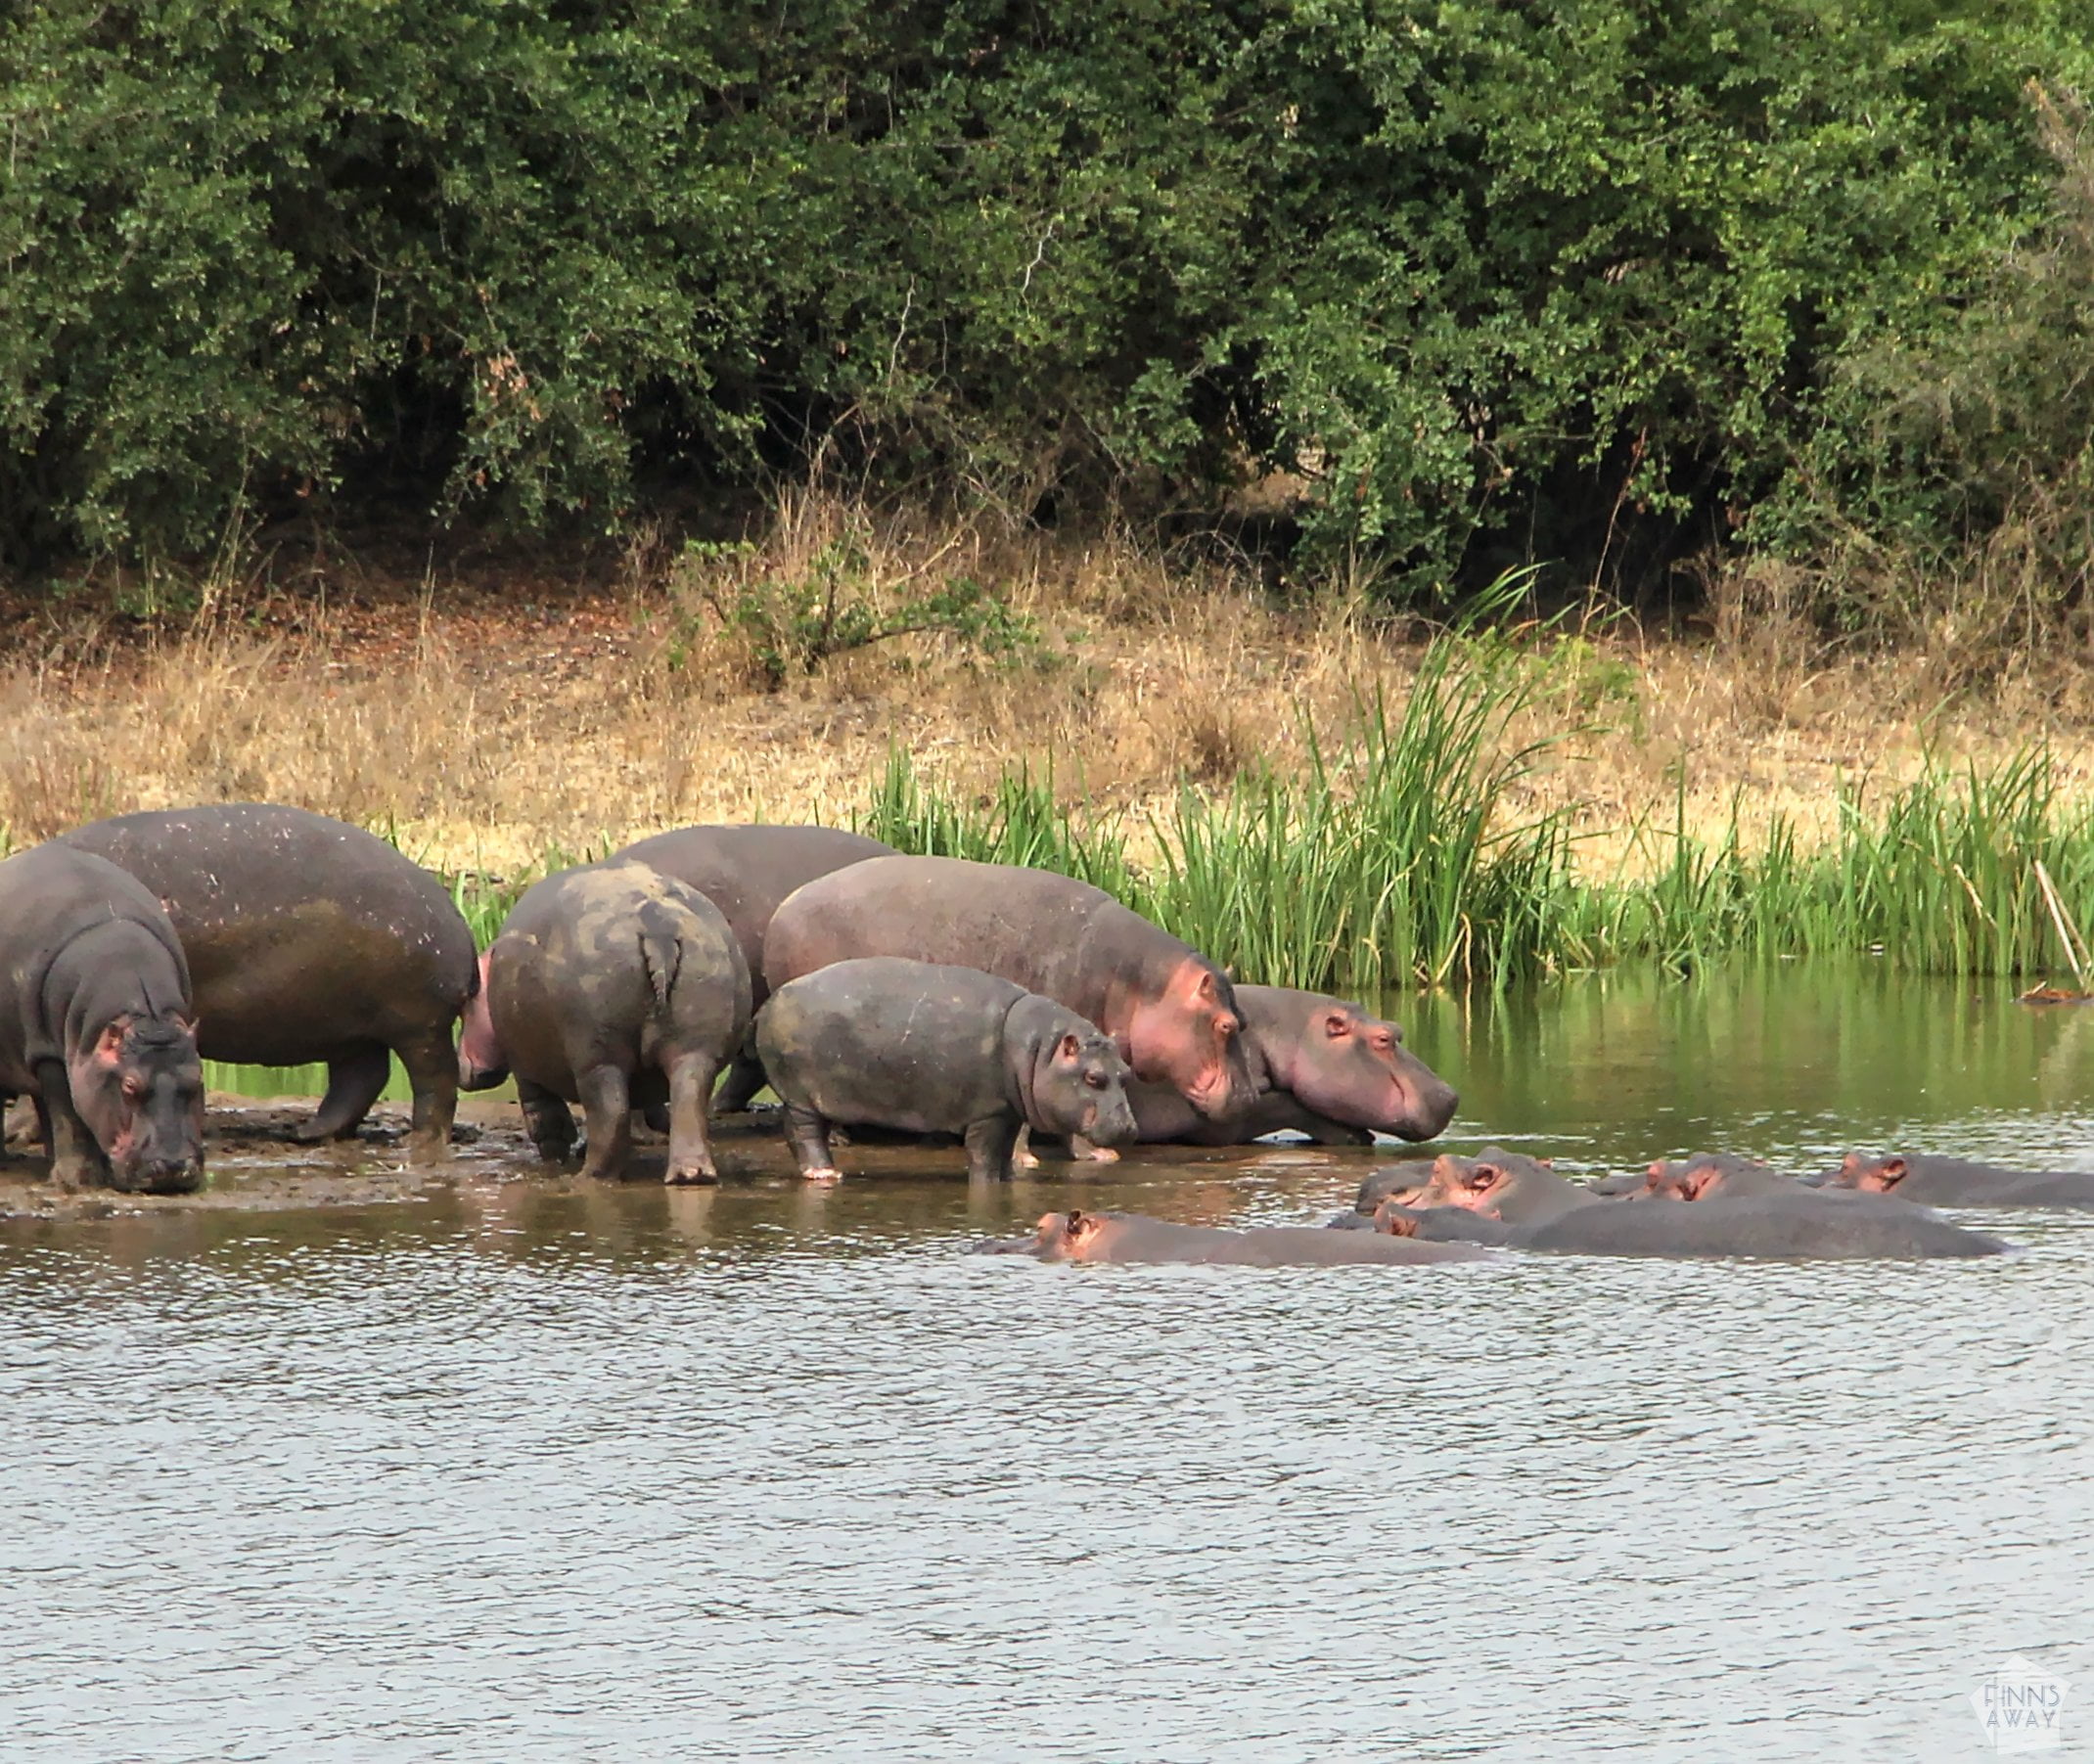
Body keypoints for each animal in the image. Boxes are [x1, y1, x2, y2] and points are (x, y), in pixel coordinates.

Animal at [0, 846, 205, 1193]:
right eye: (129, 1086)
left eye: (197, 1079)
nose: (173, 1167)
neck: (145, 1018)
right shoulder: (50, 1054)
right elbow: (67, 1115)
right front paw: (78, 1180)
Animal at [58, 804, 477, 1156]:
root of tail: (458, 919)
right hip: (351, 1025)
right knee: (362, 1075)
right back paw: (308, 1133)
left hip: (419, 1025)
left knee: (435, 1080)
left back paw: (417, 1142)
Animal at [457, 860, 752, 1183]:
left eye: (467, 1002)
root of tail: (658, 927)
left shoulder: (525, 1067)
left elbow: (546, 1121)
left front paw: (555, 1163)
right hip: (696, 1043)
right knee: (689, 1098)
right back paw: (691, 1175)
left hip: (597, 1056)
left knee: (611, 1111)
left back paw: (588, 1176)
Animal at [756, 957, 1136, 1181]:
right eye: (1093, 1077)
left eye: (1125, 1073)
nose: (1129, 1128)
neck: (1041, 1050)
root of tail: (769, 1003)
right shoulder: (988, 1113)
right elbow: (984, 1155)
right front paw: (988, 1183)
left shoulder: (1009, 1112)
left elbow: (1004, 1153)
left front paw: (1009, 1180)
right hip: (803, 1096)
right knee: (805, 1132)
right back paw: (825, 1173)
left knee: (792, 1130)